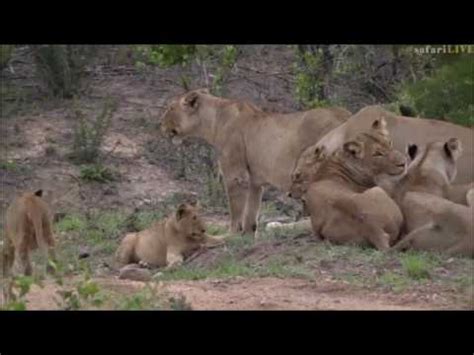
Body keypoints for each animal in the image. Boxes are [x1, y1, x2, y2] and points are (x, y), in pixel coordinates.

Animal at [161, 88, 350, 236]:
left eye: (170, 108)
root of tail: (347, 115)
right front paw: (246, 235)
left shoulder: (236, 175)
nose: (160, 124)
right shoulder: (254, 181)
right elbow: (250, 212)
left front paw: (231, 234)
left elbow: (236, 209)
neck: (213, 121)